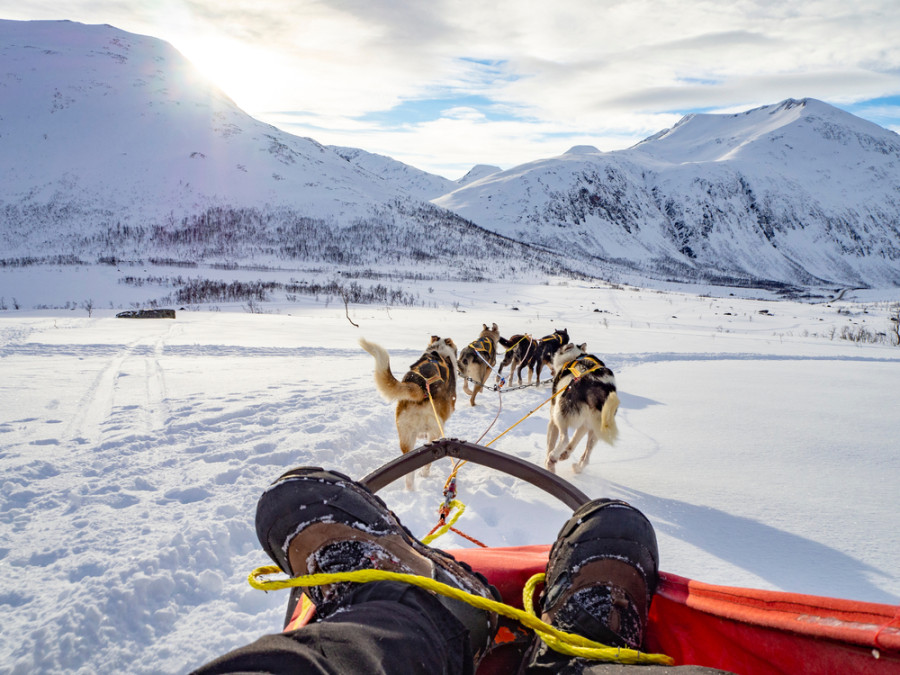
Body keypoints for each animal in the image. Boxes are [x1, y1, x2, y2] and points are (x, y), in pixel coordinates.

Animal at [358, 336, 458, 488]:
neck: (438, 352)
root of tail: (420, 384)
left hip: (406, 437)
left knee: (409, 471)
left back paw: (410, 489)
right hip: (434, 431)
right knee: (427, 462)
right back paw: (424, 474)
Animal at [544, 344, 616, 476]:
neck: (576, 356)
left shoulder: (552, 421)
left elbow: (550, 444)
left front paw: (549, 464)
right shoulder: (585, 425)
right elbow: (574, 441)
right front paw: (564, 455)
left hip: (559, 415)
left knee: (565, 439)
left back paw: (552, 458)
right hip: (595, 429)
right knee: (586, 456)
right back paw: (575, 465)